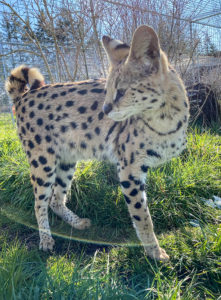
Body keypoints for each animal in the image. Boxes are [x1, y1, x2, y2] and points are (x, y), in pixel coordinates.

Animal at [5, 25, 188, 260]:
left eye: (121, 91)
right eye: (107, 90)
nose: (105, 110)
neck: (167, 120)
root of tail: (23, 95)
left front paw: (153, 250)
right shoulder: (129, 169)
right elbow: (142, 217)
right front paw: (154, 251)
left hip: (67, 160)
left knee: (56, 199)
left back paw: (76, 223)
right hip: (42, 162)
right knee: (39, 203)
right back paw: (45, 240)